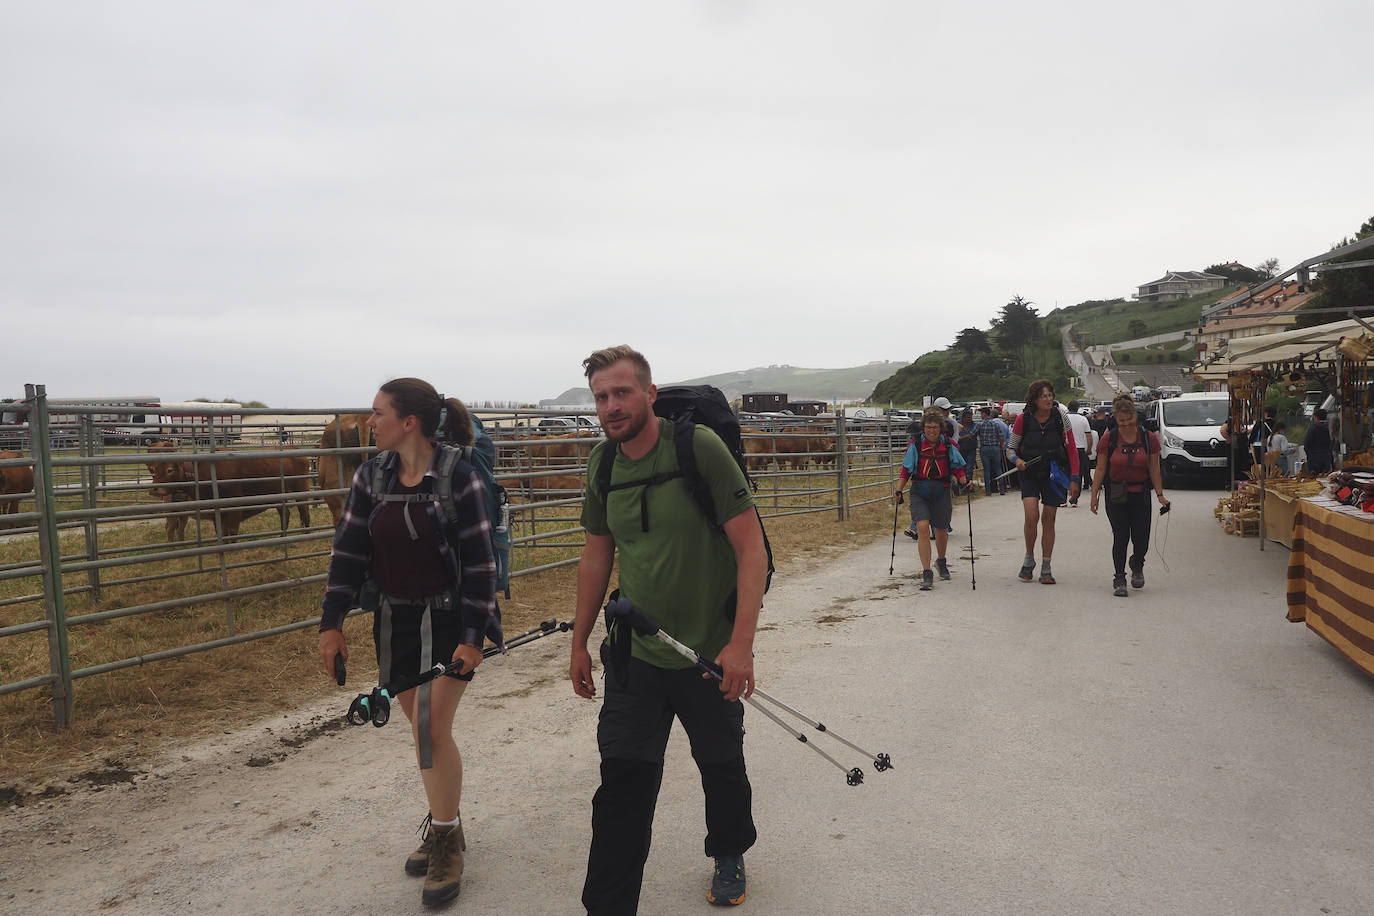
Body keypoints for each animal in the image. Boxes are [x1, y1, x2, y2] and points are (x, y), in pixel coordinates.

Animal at [149, 442, 313, 538]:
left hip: (301, 490)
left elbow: (232, 532)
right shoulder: (218, 513)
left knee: (304, 512)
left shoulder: (235, 508)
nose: (154, 489)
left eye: (170, 470)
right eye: (154, 469)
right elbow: (222, 533)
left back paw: (306, 533)